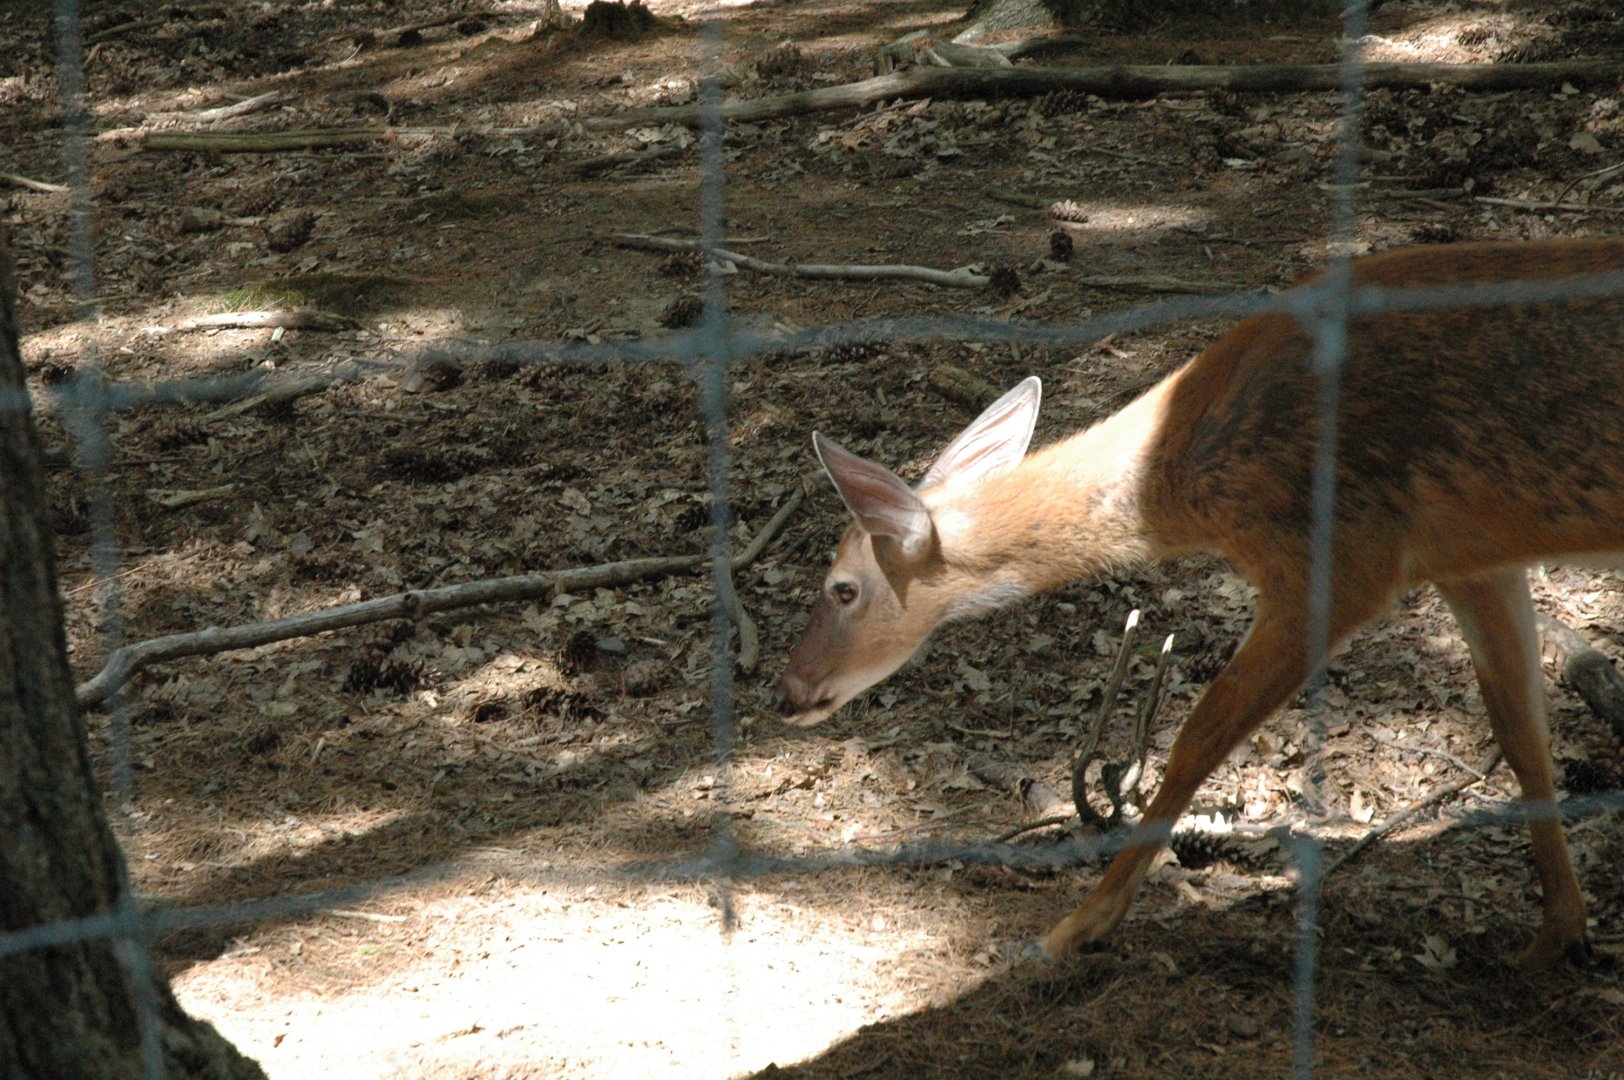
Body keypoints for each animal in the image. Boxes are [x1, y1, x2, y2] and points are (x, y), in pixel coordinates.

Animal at [775, 238, 1624, 970]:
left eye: (841, 588)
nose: (787, 691)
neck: (1183, 473)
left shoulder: (1343, 557)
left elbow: (1198, 736)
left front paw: (1077, 927)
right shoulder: (1469, 555)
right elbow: (1521, 729)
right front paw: (1559, 932)